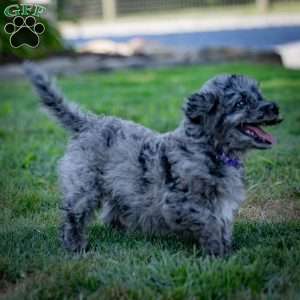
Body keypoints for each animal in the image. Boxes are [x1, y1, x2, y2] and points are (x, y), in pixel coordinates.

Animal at [25, 62, 282, 255]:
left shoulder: (222, 201)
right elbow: (209, 222)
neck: (209, 148)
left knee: (112, 210)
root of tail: (89, 123)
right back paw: (76, 247)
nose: (275, 107)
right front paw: (216, 252)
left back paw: (121, 232)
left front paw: (227, 249)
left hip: (120, 184)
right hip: (84, 184)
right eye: (241, 102)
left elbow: (223, 224)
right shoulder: (180, 202)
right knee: (73, 215)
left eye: (259, 95)